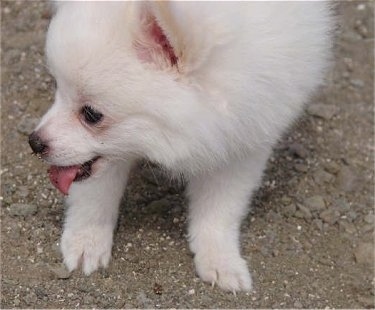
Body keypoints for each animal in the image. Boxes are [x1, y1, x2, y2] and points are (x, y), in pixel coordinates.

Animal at [30, 1, 334, 294]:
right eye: (57, 88)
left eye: (91, 114)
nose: (34, 142)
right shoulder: (104, 155)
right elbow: (95, 190)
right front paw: (86, 238)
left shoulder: (244, 137)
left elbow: (221, 207)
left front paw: (220, 259)